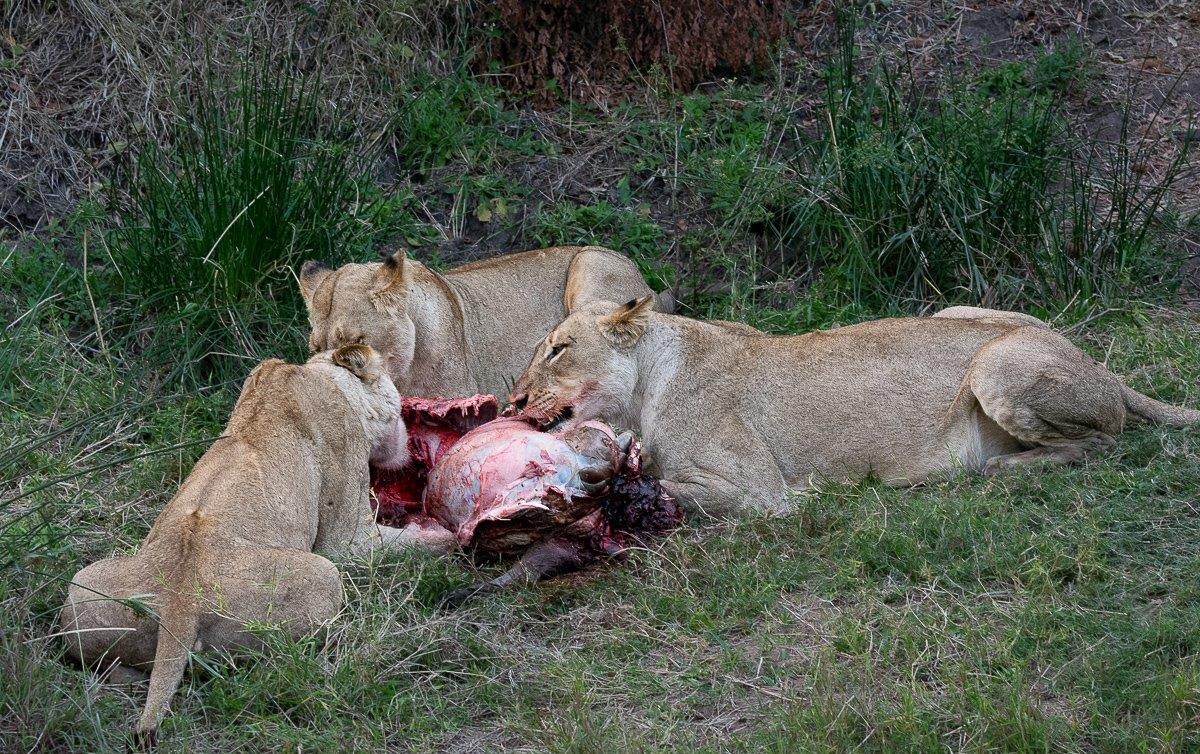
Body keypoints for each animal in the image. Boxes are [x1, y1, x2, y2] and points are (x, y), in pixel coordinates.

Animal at [58, 344, 454, 745]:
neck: (321, 375)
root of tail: (179, 603)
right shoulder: (345, 530)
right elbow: (374, 544)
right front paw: (450, 537)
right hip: (322, 576)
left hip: (81, 588)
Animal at [508, 297, 1200, 517]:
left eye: (558, 348)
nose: (513, 399)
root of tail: (1101, 368)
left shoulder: (758, 490)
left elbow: (661, 482)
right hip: (955, 311)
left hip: (995, 365)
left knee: (1105, 439)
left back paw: (1004, 469)